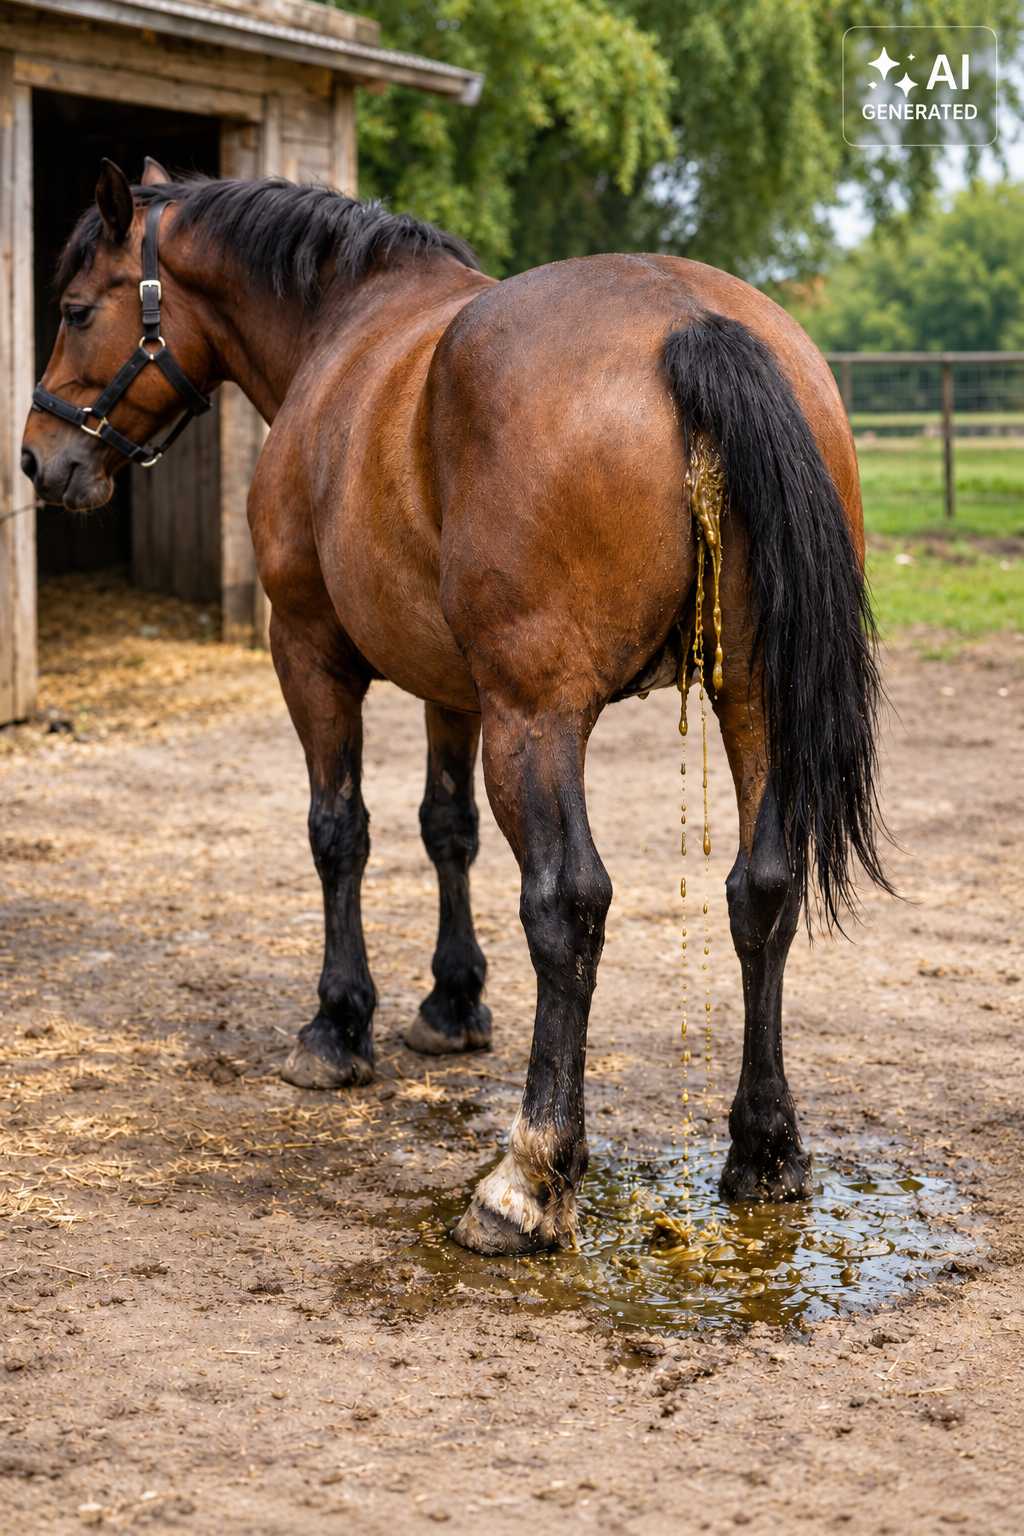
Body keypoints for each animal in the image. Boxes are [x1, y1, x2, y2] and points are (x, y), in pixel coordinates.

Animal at [22, 159, 891, 1256]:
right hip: (750, 704)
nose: (38, 457)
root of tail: (692, 325)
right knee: (762, 891)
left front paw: (338, 1025)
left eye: (74, 307)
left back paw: (526, 1178)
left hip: (539, 719)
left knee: (568, 904)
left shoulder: (310, 653)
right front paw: (451, 1001)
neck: (341, 326)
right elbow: (447, 831)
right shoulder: (455, 689)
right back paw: (764, 1149)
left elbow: (339, 832)